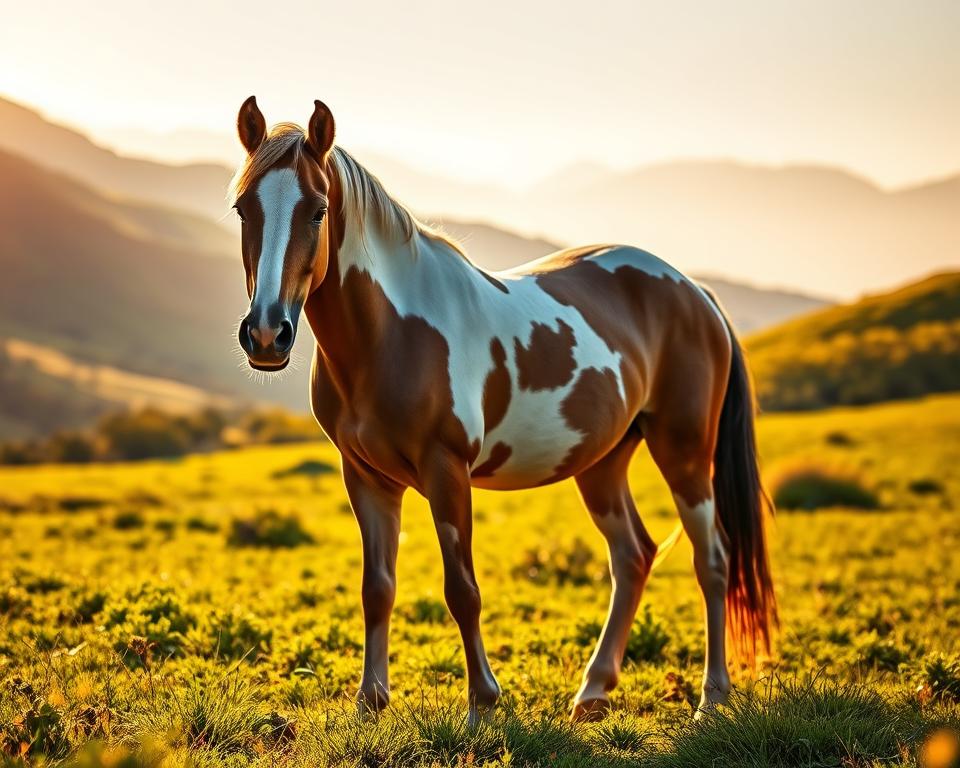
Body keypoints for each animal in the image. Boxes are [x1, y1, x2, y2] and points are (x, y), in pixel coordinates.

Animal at [229, 96, 777, 723]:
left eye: (318, 211)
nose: (266, 334)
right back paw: (593, 692)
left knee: (712, 561)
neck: (390, 334)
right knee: (632, 557)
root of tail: (695, 292)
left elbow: (461, 591)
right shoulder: (365, 476)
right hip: (602, 463)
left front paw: (483, 704)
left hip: (684, 453)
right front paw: (370, 702)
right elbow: (378, 588)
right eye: (243, 208)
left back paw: (712, 698)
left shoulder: (447, 471)